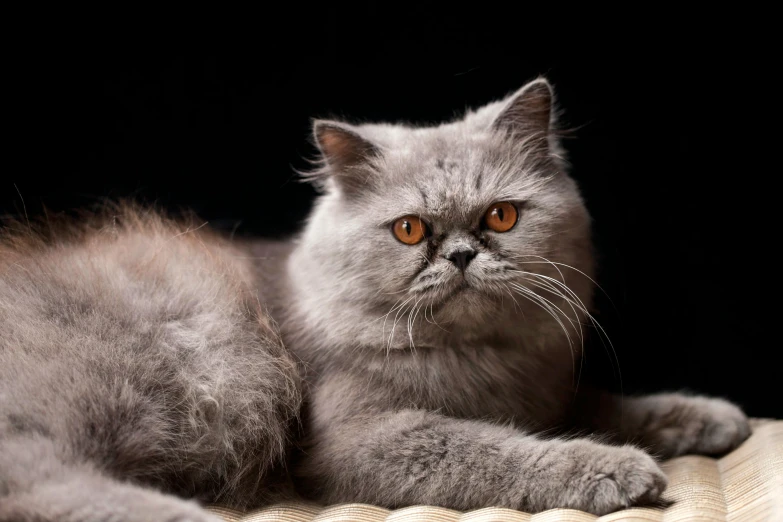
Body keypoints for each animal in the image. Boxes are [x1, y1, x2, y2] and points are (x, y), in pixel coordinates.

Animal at [253, 77, 752, 512]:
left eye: (501, 216)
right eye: (409, 229)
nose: (460, 254)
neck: (479, 359)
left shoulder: (554, 398)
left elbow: (616, 407)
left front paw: (715, 419)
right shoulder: (356, 439)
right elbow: (490, 449)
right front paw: (617, 469)